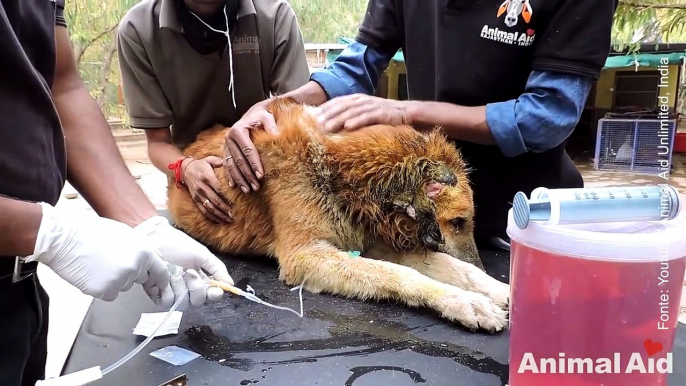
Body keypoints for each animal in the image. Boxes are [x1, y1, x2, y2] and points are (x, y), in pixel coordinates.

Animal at [167, 96, 510, 332]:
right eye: (457, 222)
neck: (341, 171)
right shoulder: (305, 256)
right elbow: (399, 274)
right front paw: (467, 303)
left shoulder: (377, 240)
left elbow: (458, 269)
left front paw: (502, 290)